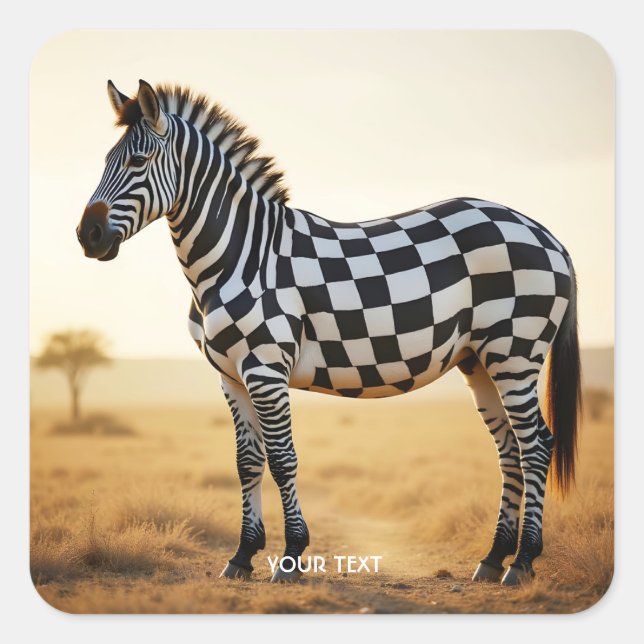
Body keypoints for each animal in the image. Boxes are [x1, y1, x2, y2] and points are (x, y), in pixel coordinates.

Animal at [77, 80, 581, 587]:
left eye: (138, 162)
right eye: (105, 160)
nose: (87, 235)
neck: (237, 257)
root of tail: (546, 234)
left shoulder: (265, 370)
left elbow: (282, 459)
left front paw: (291, 557)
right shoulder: (230, 375)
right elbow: (247, 463)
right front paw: (242, 555)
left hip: (515, 352)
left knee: (536, 445)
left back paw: (522, 562)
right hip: (480, 360)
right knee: (510, 449)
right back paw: (493, 557)